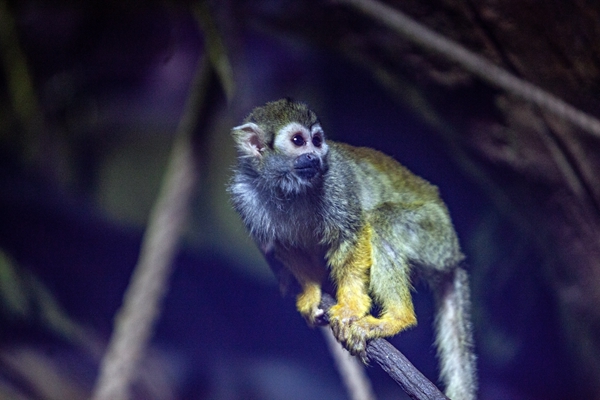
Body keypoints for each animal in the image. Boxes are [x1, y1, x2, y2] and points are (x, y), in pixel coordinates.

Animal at [228, 98, 477, 399]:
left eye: (317, 141)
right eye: (298, 141)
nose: (314, 156)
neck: (287, 186)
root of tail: (455, 254)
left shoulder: (336, 182)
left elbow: (352, 233)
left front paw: (350, 307)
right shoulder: (245, 197)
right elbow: (284, 247)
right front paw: (311, 290)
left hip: (435, 236)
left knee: (383, 221)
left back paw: (397, 318)